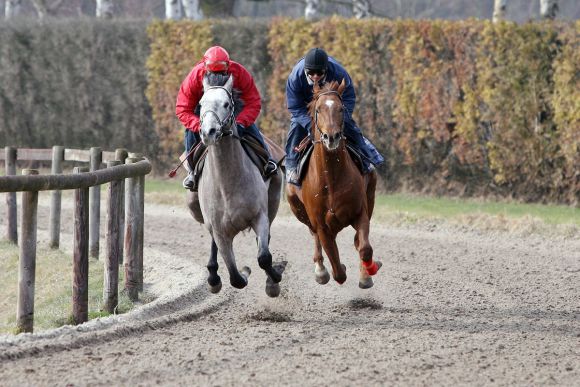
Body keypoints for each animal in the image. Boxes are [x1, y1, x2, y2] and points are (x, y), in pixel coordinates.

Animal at [186, 74, 286, 298]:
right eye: (201, 104)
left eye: (226, 104)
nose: (209, 132)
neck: (228, 183)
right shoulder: (219, 231)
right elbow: (235, 276)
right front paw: (242, 271)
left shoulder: (259, 216)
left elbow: (264, 257)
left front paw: (274, 279)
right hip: (197, 210)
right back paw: (213, 276)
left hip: (274, 199)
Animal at [286, 80, 380, 290]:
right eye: (318, 109)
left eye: (341, 108)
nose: (332, 137)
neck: (331, 178)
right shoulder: (321, 225)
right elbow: (338, 271)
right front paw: (333, 269)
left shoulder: (360, 212)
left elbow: (365, 248)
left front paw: (368, 273)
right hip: (297, 208)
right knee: (314, 236)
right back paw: (320, 270)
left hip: (370, 195)